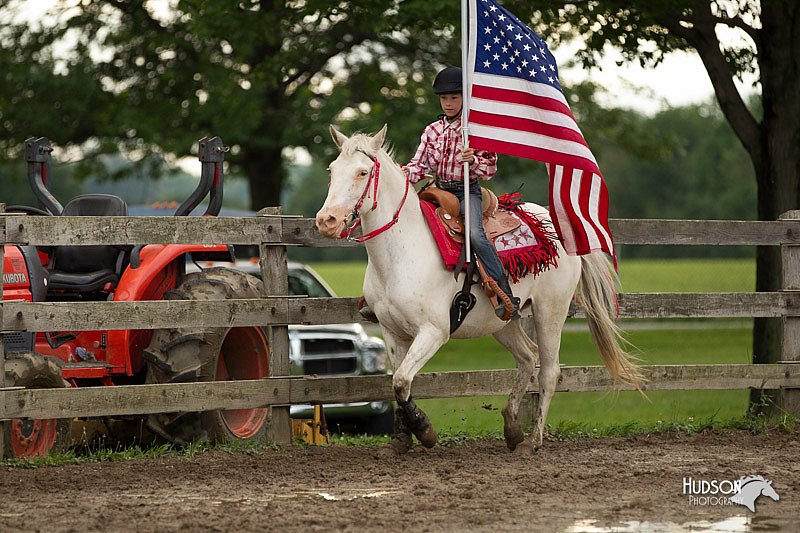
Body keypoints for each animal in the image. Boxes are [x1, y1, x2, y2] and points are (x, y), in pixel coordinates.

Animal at [316, 125, 640, 454]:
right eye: (332, 169)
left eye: (363, 172)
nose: (326, 220)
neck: (402, 248)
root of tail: (557, 224)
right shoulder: (392, 332)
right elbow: (397, 382)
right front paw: (402, 439)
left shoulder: (434, 330)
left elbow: (402, 381)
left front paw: (425, 430)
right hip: (503, 321)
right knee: (527, 357)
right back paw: (512, 428)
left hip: (551, 310)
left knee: (549, 371)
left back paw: (533, 441)